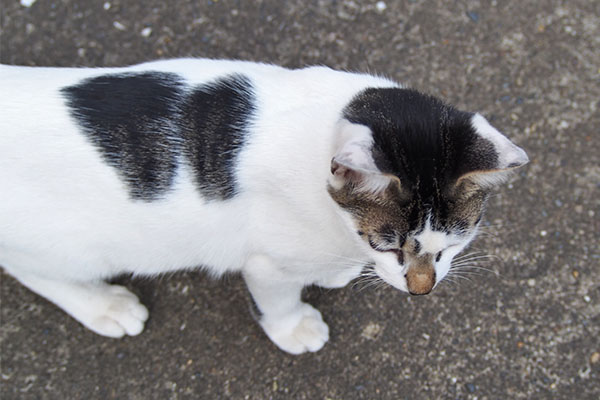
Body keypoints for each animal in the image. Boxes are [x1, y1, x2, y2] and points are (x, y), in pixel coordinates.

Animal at [0, 58, 528, 354]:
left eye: (454, 243)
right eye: (389, 246)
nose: (422, 289)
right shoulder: (267, 262)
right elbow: (279, 298)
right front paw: (294, 328)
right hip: (69, 244)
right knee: (34, 271)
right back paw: (105, 305)